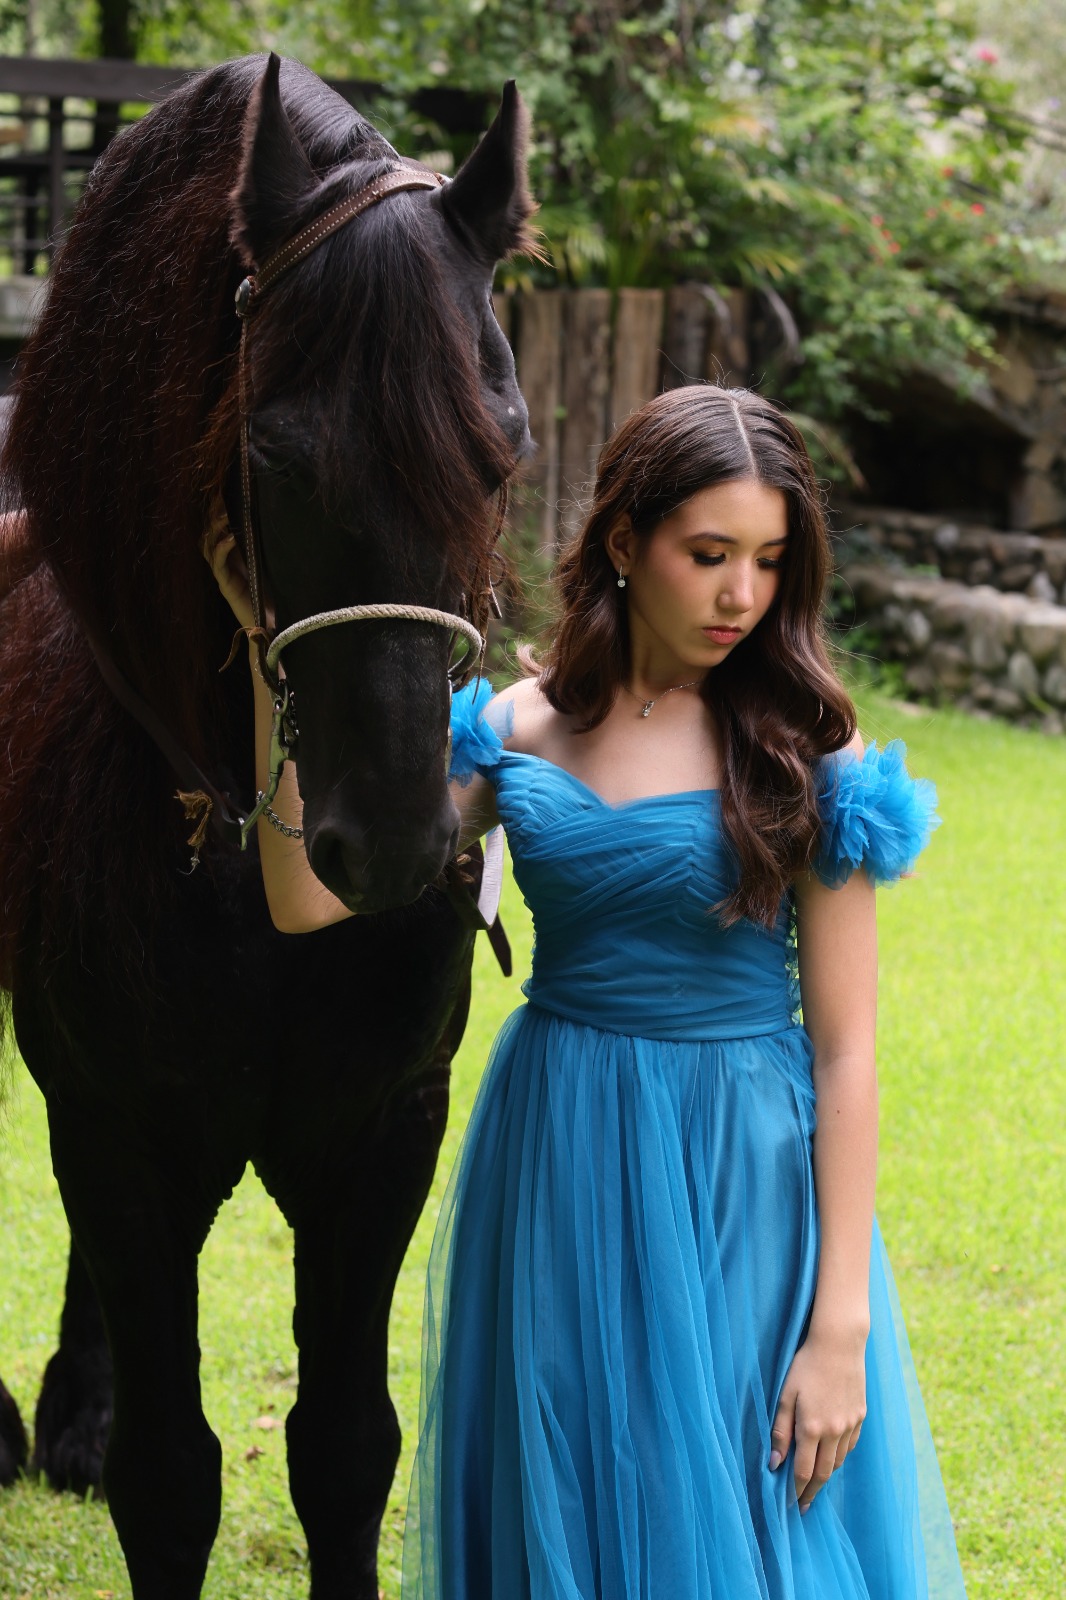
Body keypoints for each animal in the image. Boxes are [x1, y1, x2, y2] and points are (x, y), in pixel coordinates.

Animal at [0, 51, 532, 1598]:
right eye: (276, 457)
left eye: (504, 449)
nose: (396, 844)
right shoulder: (119, 1129)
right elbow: (172, 1477)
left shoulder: (380, 1135)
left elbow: (346, 1450)